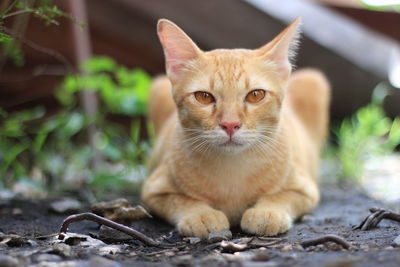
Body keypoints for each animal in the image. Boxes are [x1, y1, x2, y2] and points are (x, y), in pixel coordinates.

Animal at [142, 17, 330, 238]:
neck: (232, 170)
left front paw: (267, 212)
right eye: (204, 97)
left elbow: (282, 196)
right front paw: (201, 215)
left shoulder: (306, 189)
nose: (230, 124)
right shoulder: (153, 191)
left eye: (256, 95)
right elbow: (178, 200)